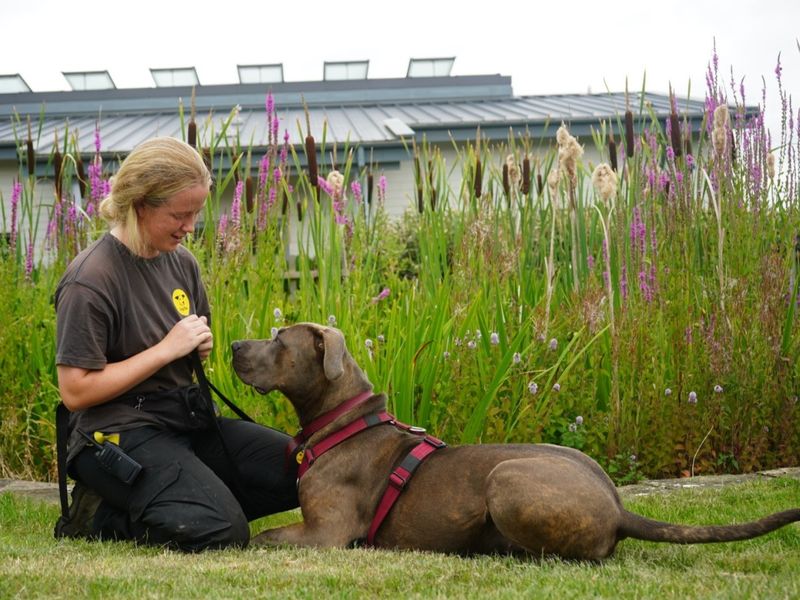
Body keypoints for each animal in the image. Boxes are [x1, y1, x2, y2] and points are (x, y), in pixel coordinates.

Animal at [228, 322, 796, 560]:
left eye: (278, 339)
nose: (231, 343)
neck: (347, 419)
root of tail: (618, 506)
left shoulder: (324, 533)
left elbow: (259, 537)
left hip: (506, 479)